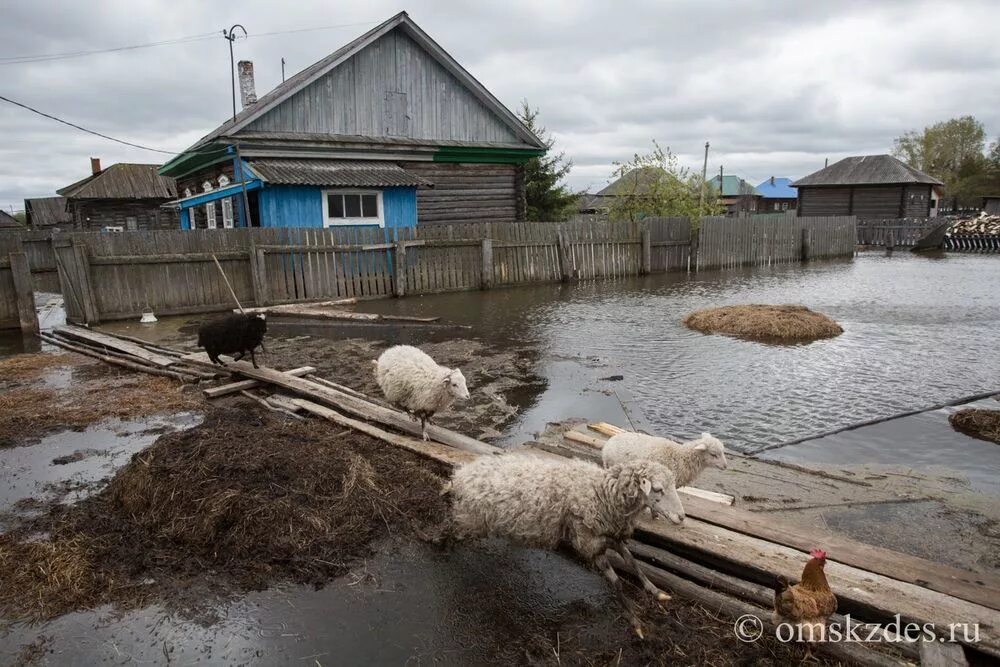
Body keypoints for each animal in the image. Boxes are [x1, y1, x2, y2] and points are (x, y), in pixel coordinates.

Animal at [450, 454, 684, 636]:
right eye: (658, 489)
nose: (681, 517)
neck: (603, 494)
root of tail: (463, 473)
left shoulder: (610, 535)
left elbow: (633, 563)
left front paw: (656, 592)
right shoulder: (589, 542)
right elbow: (617, 582)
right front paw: (635, 621)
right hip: (468, 518)